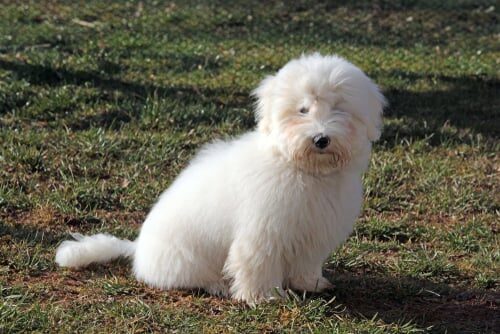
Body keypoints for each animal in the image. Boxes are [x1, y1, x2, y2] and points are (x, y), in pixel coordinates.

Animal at [54, 54, 384, 306]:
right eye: (303, 109)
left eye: (339, 108)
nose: (321, 139)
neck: (298, 166)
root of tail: (138, 250)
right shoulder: (262, 232)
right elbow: (258, 264)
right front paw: (264, 297)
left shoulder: (310, 232)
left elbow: (305, 262)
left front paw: (310, 283)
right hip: (187, 259)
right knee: (196, 278)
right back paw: (219, 285)